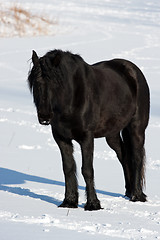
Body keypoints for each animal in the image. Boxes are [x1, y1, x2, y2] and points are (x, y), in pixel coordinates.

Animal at [27, 49, 150, 211]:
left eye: (55, 83)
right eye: (35, 83)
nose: (45, 116)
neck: (72, 100)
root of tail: (134, 71)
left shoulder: (86, 138)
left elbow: (87, 169)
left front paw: (93, 204)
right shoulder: (61, 138)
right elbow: (68, 168)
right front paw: (69, 201)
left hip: (136, 128)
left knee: (136, 157)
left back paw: (137, 195)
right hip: (112, 134)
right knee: (124, 156)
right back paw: (129, 192)